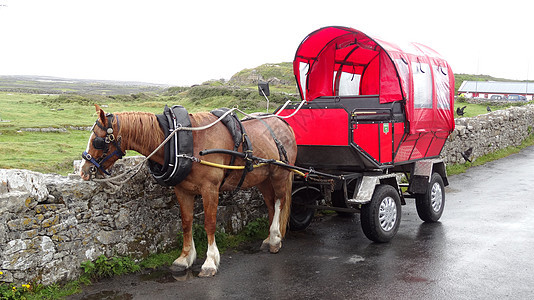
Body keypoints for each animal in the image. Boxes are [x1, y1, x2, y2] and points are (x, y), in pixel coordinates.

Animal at [80, 105, 298, 276]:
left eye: (98, 140)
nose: (84, 171)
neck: (182, 143)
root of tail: (283, 123)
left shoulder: (210, 189)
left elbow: (210, 224)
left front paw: (210, 262)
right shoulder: (182, 190)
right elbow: (186, 223)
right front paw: (184, 258)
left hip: (280, 174)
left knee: (280, 201)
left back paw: (275, 238)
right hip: (263, 178)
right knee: (270, 204)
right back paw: (269, 239)